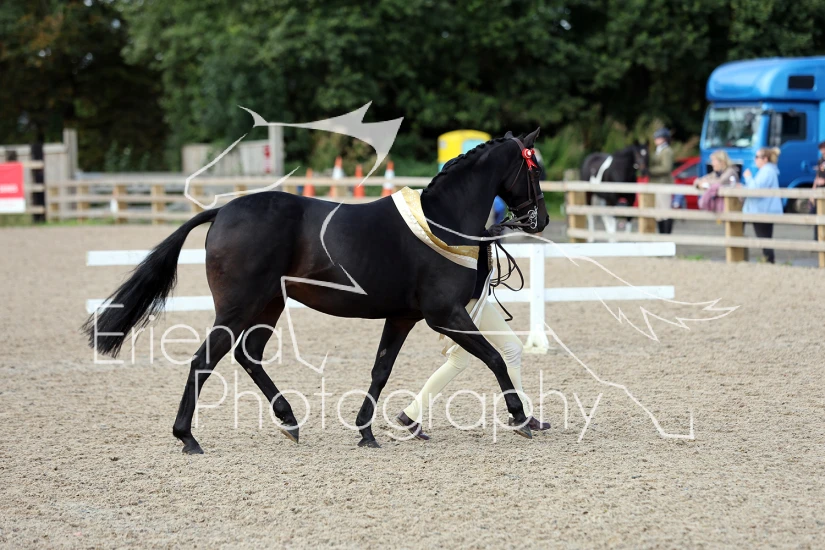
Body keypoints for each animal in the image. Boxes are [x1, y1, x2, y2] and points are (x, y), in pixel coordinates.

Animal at [82, 129, 549, 453]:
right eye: (534, 171)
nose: (541, 219)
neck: (441, 220)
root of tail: (224, 211)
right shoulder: (445, 314)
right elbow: (494, 358)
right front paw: (520, 417)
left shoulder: (402, 316)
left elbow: (381, 370)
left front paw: (366, 432)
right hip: (238, 307)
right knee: (205, 359)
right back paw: (188, 437)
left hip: (269, 305)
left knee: (247, 355)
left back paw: (288, 421)